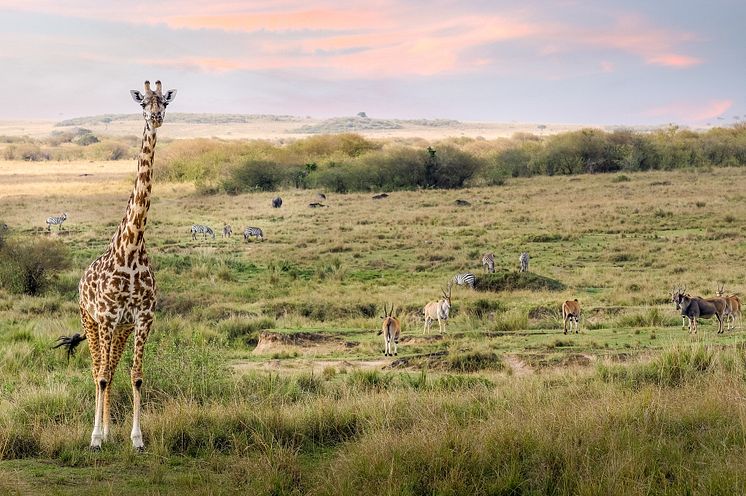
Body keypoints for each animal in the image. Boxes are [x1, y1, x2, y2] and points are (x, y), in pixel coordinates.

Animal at [77, 80, 175, 450]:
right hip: (90, 320)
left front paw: (137, 439)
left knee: (112, 369)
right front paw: (95, 439)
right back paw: (99, 434)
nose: (156, 117)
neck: (131, 248)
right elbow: (103, 376)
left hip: (121, 329)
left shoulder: (143, 317)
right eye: (142, 104)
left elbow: (136, 377)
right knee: (97, 372)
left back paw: (110, 431)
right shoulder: (106, 317)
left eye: (164, 102)